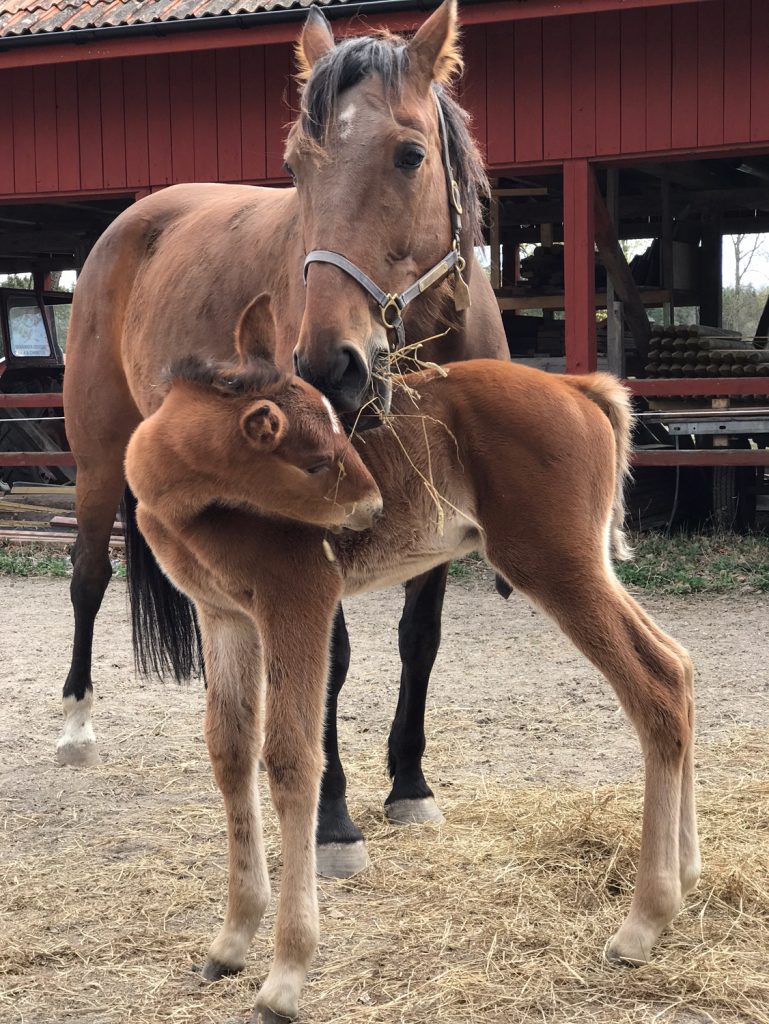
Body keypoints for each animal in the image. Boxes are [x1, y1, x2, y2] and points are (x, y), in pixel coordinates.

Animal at [124, 299, 696, 1024]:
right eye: (312, 459)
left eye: (336, 435)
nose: (370, 510)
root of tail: (577, 388)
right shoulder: (224, 617)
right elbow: (229, 753)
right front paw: (230, 942)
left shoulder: (298, 601)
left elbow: (291, 758)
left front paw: (286, 974)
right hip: (583, 564)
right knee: (676, 663)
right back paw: (684, 880)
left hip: (554, 564)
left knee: (654, 686)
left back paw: (643, 922)